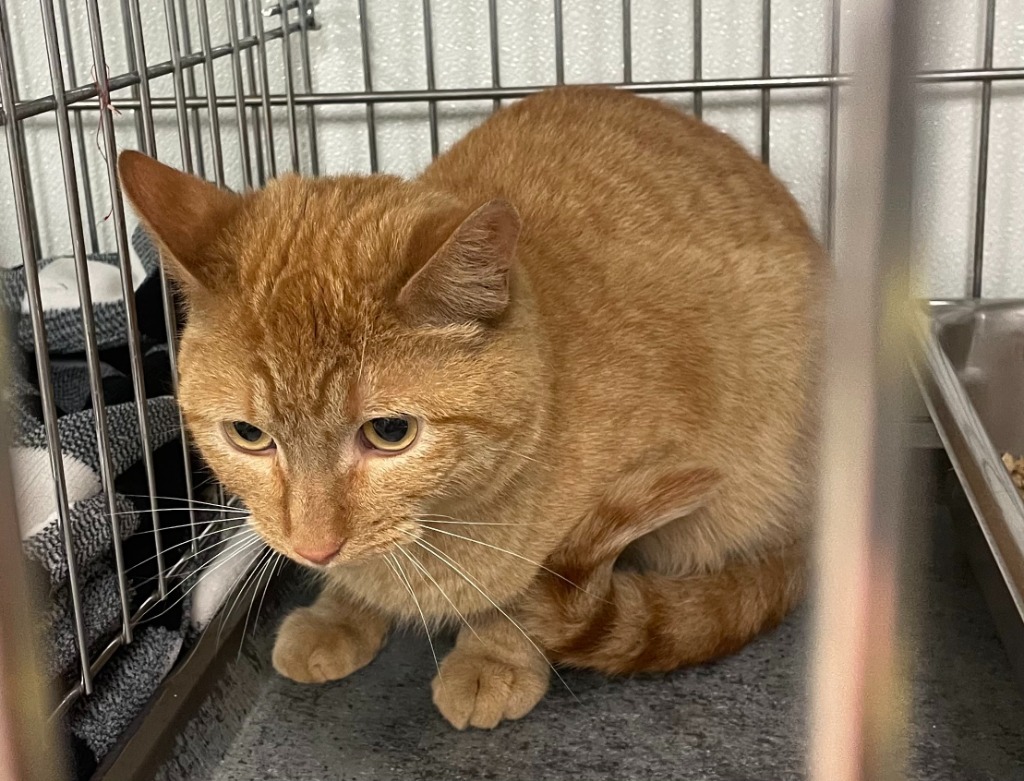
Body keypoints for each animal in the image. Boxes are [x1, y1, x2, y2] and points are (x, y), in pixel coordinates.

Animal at [117, 88, 823, 728]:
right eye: (247, 434)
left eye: (390, 432)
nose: (314, 549)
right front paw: (340, 610)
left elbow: (540, 589)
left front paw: (497, 655)